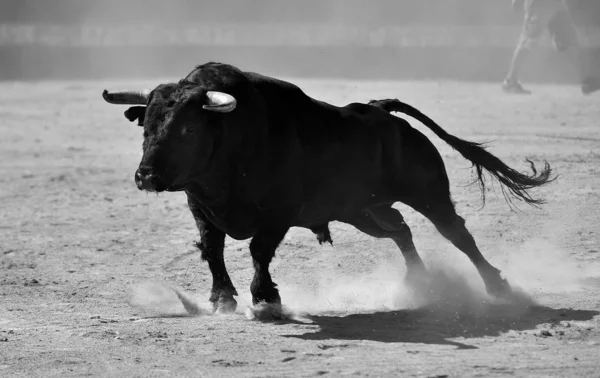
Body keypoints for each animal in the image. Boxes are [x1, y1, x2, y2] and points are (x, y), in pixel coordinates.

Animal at [102, 63, 552, 314]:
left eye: (189, 129)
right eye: (146, 125)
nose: (146, 176)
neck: (232, 141)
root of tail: (381, 110)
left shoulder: (280, 212)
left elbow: (258, 251)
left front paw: (266, 299)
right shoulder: (201, 208)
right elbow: (212, 250)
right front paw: (222, 298)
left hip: (429, 193)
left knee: (456, 234)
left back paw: (496, 286)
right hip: (364, 210)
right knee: (400, 230)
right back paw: (419, 283)